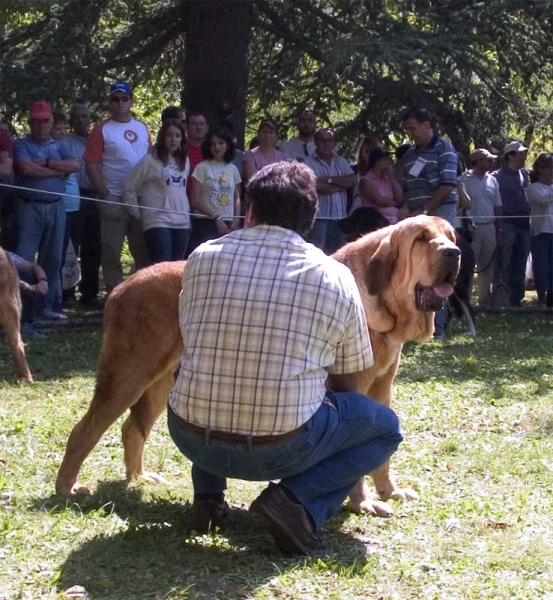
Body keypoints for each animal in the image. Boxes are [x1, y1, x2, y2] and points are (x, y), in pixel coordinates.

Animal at [56, 216, 460, 516]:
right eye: (422, 239)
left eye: (450, 236)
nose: (454, 252)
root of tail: (120, 289)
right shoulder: (354, 388)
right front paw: (363, 502)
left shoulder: (382, 387)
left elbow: (383, 460)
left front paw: (389, 492)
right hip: (127, 376)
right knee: (84, 430)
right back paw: (67, 488)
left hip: (158, 383)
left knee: (132, 429)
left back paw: (139, 479)